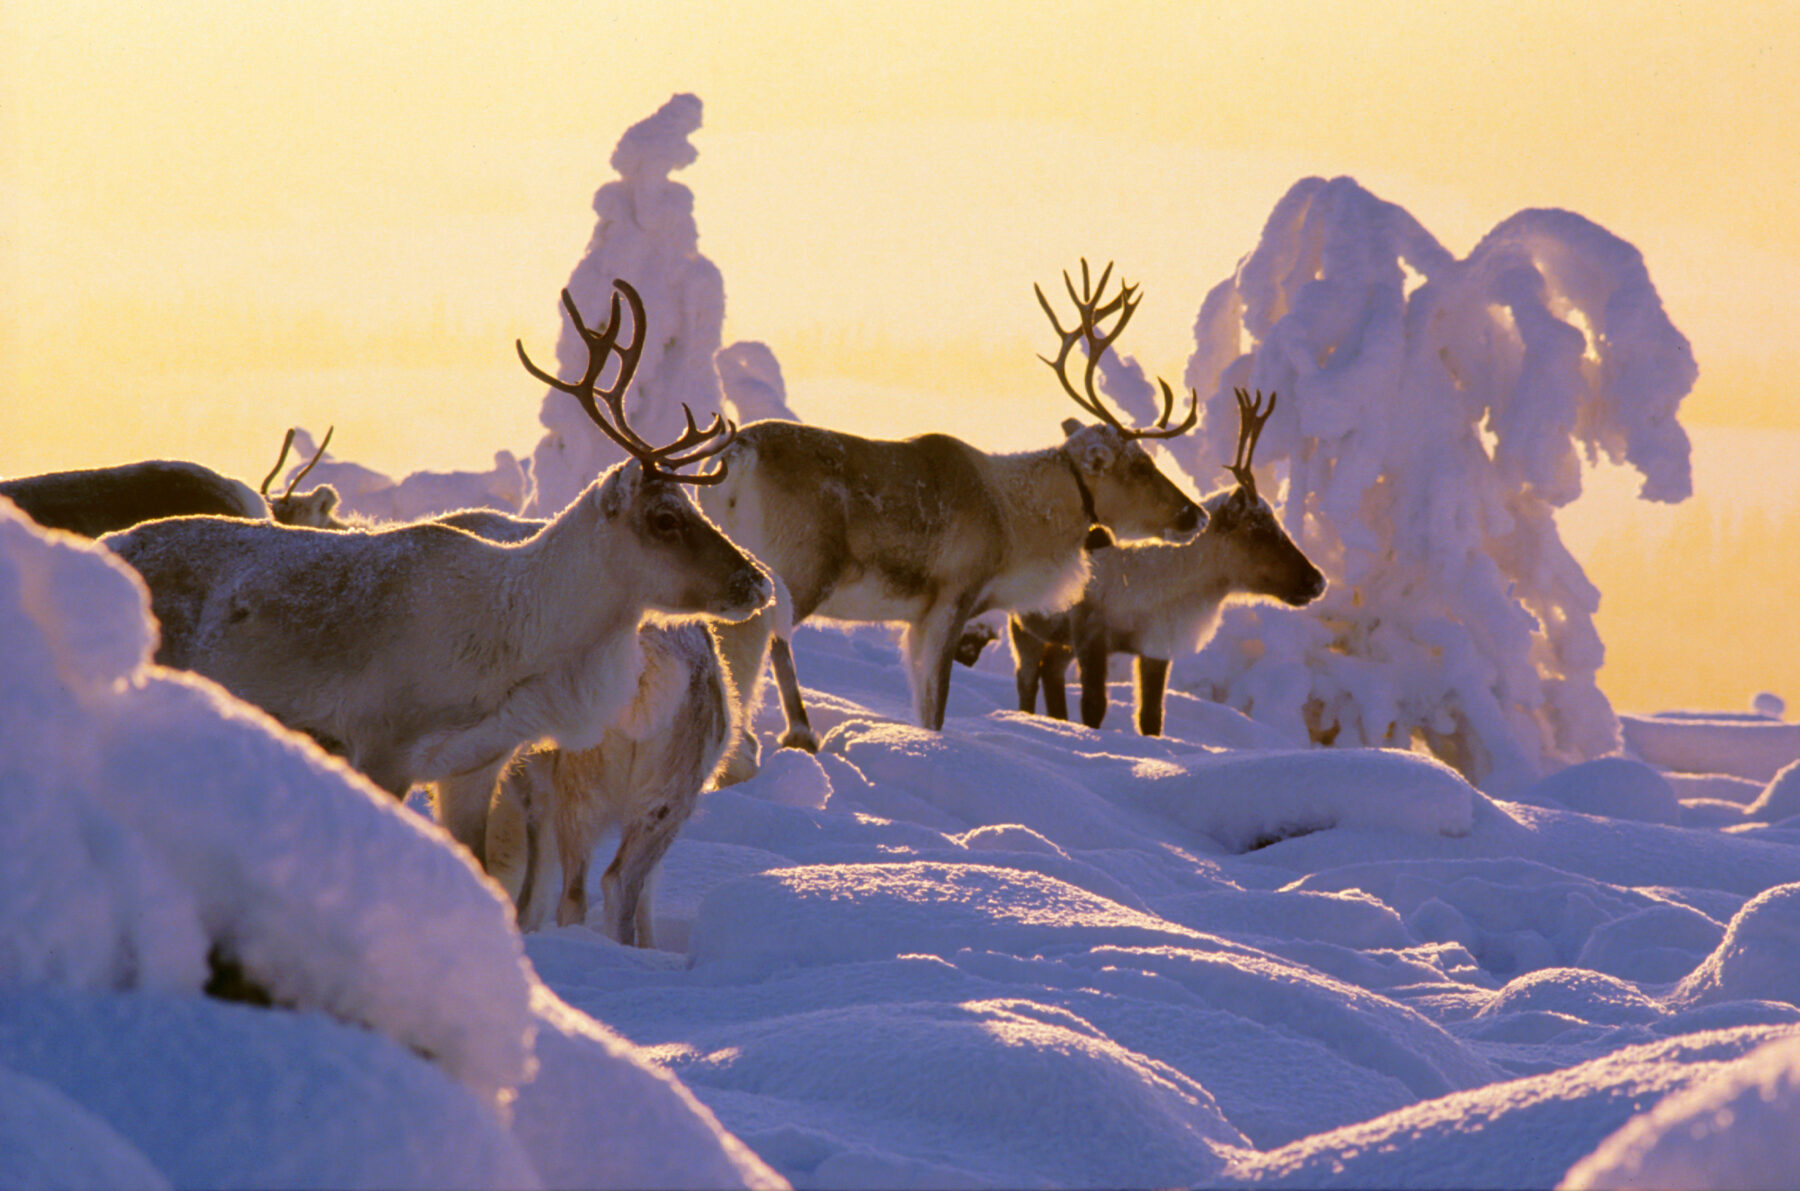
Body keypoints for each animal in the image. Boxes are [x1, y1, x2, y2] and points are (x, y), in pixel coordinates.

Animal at [102, 279, 772, 798]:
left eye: (691, 507)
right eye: (664, 519)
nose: (757, 581)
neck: (516, 643)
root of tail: (109, 546)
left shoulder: (476, 766)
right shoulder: (381, 747)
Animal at [696, 259, 1203, 750]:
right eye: (1140, 466)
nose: (1195, 514)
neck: (1018, 526)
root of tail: (736, 457)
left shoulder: (922, 615)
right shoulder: (952, 593)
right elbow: (934, 706)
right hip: (800, 564)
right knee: (768, 636)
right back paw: (798, 732)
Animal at [1005, 389, 1326, 736]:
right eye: (1261, 532)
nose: (1317, 581)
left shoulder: (1155, 645)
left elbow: (1151, 718)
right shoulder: (1090, 630)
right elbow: (1094, 707)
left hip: (1058, 638)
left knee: (1050, 671)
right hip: (1023, 622)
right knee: (1027, 677)